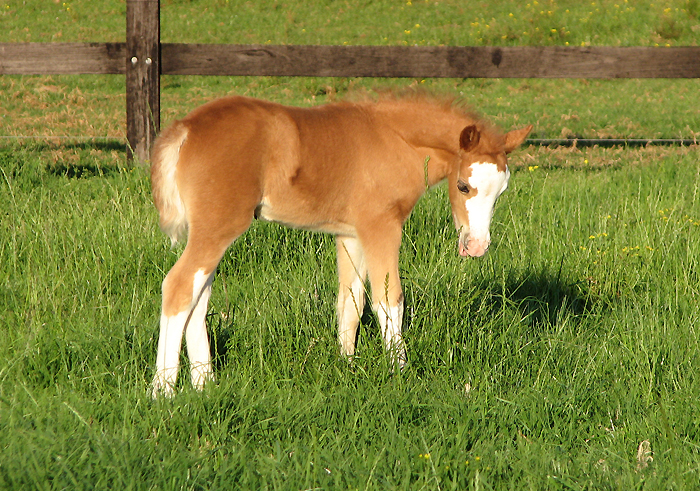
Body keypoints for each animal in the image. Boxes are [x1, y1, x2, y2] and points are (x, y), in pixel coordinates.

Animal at [150, 93, 532, 396]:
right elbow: (388, 299)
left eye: (502, 190)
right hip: (218, 227)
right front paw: (400, 373)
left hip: (212, 231)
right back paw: (163, 390)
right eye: (464, 186)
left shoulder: (350, 234)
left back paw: (204, 384)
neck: (395, 141)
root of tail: (186, 127)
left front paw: (347, 366)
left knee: (198, 296)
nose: (477, 246)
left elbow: (350, 301)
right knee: (179, 286)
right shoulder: (381, 226)